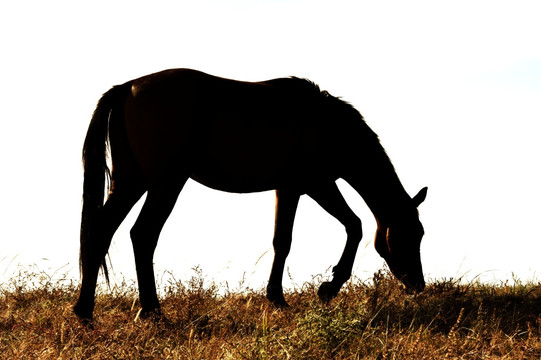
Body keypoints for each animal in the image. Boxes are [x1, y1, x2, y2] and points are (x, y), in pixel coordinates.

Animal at [73, 69, 426, 322]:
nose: (418, 286)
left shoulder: (293, 189)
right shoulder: (313, 186)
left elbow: (284, 240)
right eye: (412, 234)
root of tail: (128, 88)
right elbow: (348, 227)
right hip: (164, 184)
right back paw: (151, 312)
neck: (325, 125)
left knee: (102, 233)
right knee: (143, 235)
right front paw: (327, 288)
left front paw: (279, 297)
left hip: (131, 183)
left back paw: (86, 312)